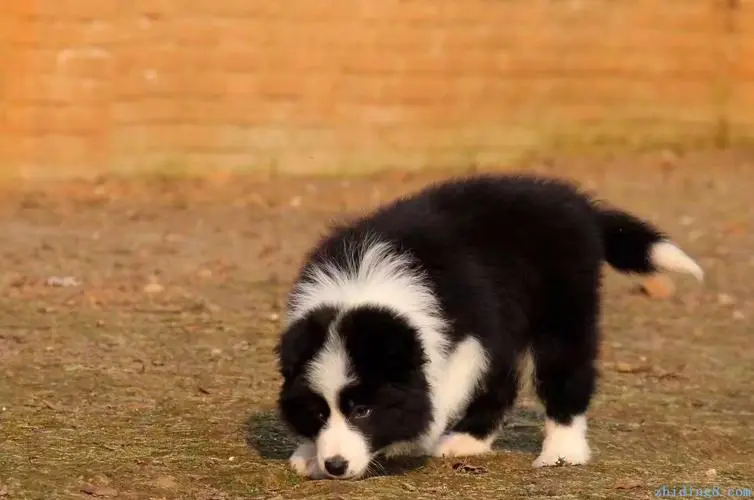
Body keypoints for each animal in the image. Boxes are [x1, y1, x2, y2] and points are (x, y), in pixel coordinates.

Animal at [274, 174, 704, 478]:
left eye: (362, 410)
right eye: (317, 413)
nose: (335, 466)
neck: (365, 282)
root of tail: (578, 203)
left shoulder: (471, 331)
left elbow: (443, 390)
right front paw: (310, 453)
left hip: (561, 310)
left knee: (564, 373)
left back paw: (562, 451)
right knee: (504, 382)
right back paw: (469, 441)